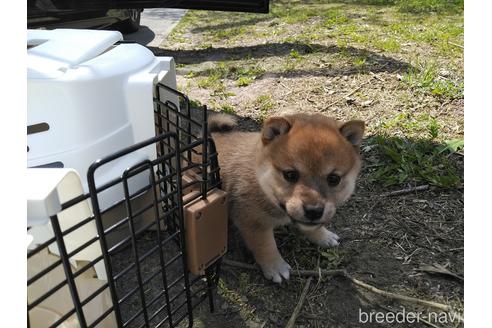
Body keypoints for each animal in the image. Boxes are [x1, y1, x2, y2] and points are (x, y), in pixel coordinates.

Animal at [209, 113, 364, 282]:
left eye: (334, 179)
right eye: (290, 175)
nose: (314, 211)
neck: (260, 181)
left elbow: (312, 227)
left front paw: (323, 236)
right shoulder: (254, 223)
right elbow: (267, 246)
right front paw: (276, 266)